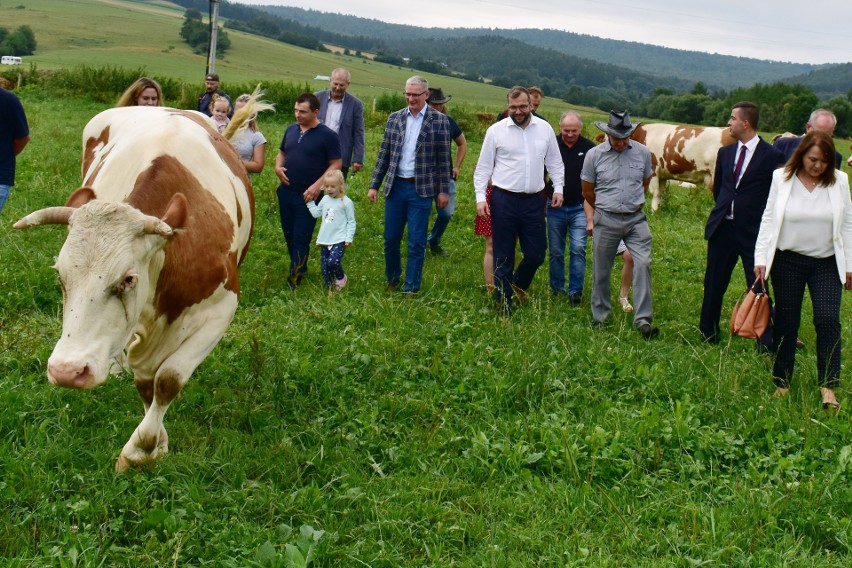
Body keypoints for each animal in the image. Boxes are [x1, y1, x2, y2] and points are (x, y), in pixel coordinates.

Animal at [15, 106, 253, 470]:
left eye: (127, 279)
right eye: (60, 277)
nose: (67, 371)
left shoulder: (221, 310)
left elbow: (167, 379)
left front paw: (142, 447)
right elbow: (145, 383)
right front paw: (151, 443)